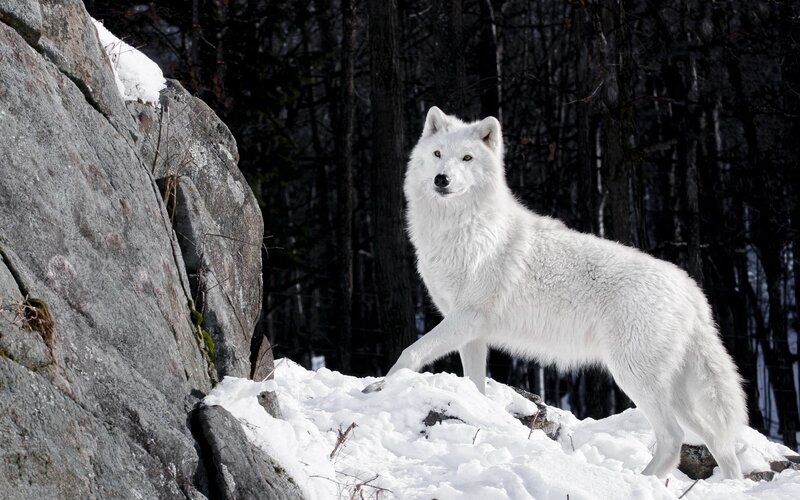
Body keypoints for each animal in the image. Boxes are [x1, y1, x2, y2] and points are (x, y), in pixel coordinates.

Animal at [365, 106, 747, 479]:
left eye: (467, 158)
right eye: (438, 154)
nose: (441, 179)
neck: (461, 229)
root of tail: (690, 289)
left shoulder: (466, 318)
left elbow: (410, 353)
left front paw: (378, 388)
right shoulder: (471, 333)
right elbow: (474, 384)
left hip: (634, 377)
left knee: (673, 438)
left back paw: (640, 481)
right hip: (674, 392)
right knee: (717, 440)